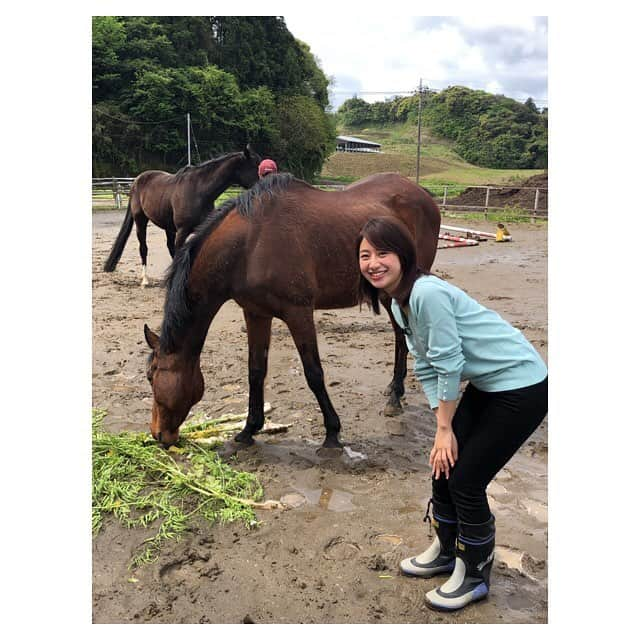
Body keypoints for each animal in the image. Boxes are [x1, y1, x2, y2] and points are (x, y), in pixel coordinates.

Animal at [102, 146, 260, 286]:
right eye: (255, 166)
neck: (199, 191)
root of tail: (137, 181)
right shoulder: (182, 231)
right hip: (141, 221)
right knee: (144, 248)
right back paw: (145, 279)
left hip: (168, 227)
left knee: (169, 246)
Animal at [142, 172, 440, 448]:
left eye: (151, 376)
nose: (158, 434)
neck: (250, 245)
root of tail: (423, 195)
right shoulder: (256, 313)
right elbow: (255, 370)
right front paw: (249, 429)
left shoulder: (299, 313)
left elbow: (314, 373)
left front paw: (332, 432)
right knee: (399, 336)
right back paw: (395, 391)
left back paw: (397, 395)